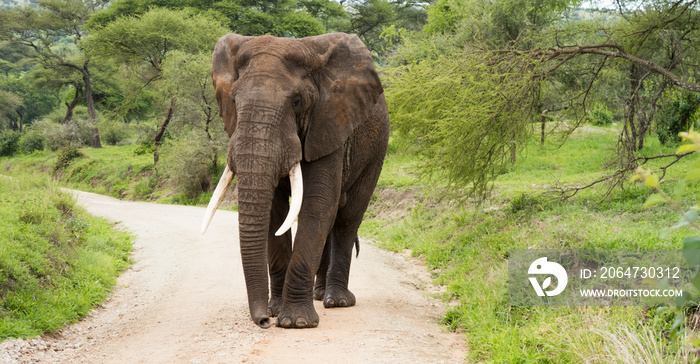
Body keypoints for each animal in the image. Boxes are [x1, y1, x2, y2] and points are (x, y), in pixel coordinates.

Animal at [200, 32, 392, 328]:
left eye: (297, 101)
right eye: (233, 101)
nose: (263, 321)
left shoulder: (329, 124)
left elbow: (317, 204)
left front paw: (296, 322)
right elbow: (276, 211)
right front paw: (277, 310)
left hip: (376, 151)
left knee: (347, 218)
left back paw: (336, 301)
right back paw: (320, 295)